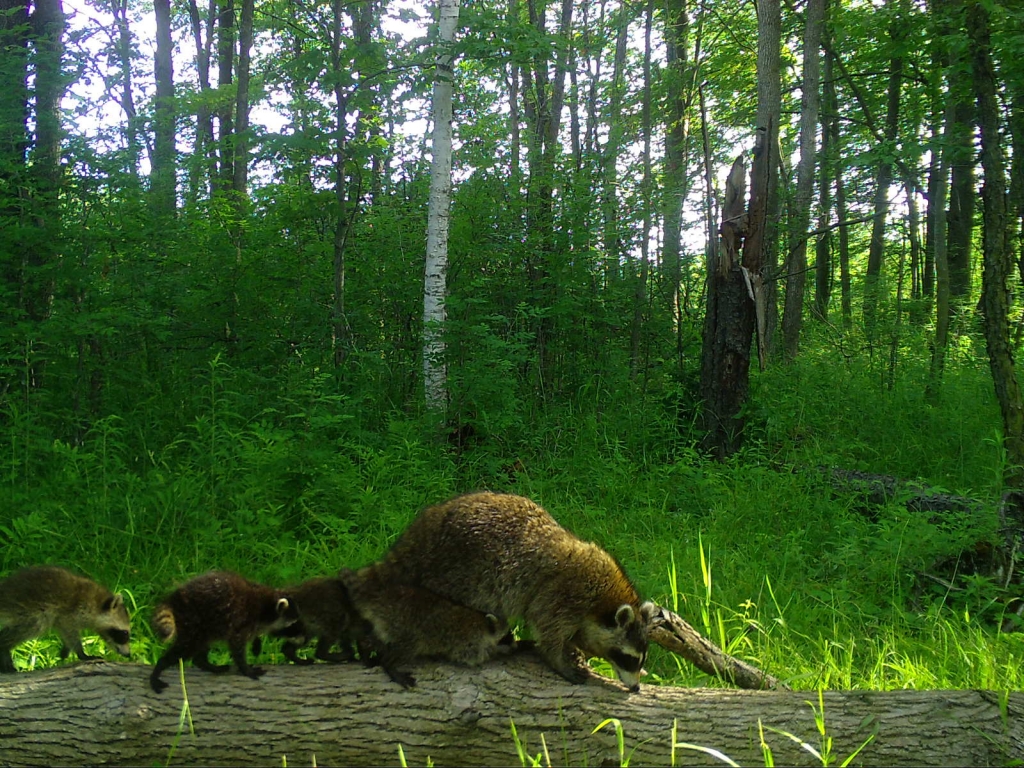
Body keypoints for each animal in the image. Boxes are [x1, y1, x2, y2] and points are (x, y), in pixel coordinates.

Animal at [0, 565, 131, 671]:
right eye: (125, 633)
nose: (128, 655)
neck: (97, 603)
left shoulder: (61, 618)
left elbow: (64, 631)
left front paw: (66, 650)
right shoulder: (72, 612)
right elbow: (70, 632)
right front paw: (81, 653)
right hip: (29, 611)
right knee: (28, 628)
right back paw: (4, 646)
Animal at [148, 573, 299, 692]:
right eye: (292, 623)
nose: (298, 635)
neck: (267, 605)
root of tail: (175, 597)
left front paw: (257, 642)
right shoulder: (243, 620)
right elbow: (237, 647)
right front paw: (246, 669)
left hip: (205, 627)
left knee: (201, 647)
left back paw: (206, 664)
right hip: (193, 620)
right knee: (185, 648)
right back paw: (159, 667)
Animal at [337, 569, 509, 688]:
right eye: (506, 637)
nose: (512, 641)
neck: (482, 621)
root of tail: (383, 596)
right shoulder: (470, 639)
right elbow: (472, 656)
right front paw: (493, 653)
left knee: (374, 638)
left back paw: (364, 648)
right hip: (406, 628)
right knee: (405, 648)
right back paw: (390, 665)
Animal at [376, 495, 655, 696]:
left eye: (641, 660)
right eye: (628, 659)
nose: (635, 688)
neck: (604, 597)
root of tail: (418, 536)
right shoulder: (563, 595)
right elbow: (548, 631)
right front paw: (558, 660)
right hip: (454, 575)